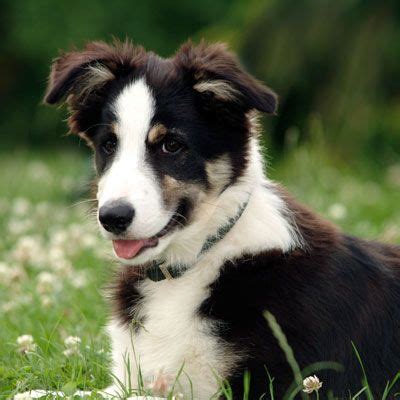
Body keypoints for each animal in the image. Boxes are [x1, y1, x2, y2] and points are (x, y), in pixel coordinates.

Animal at [43, 39, 400, 396]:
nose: (113, 217)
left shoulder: (281, 385)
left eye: (172, 145)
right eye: (108, 145)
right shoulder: (126, 381)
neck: (195, 260)